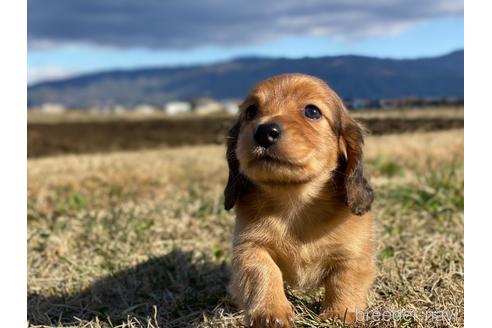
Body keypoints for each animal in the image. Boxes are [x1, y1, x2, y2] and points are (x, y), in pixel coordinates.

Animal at [224, 73, 376, 326]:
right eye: (251, 111)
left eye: (312, 111)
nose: (264, 131)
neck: (295, 203)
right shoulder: (249, 246)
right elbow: (263, 270)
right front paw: (270, 312)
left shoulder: (353, 252)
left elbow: (345, 280)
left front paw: (339, 314)